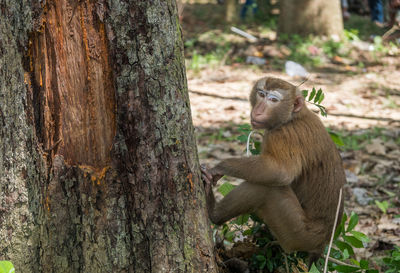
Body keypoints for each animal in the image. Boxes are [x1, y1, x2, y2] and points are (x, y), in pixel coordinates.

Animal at [202, 76, 346, 262]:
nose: (258, 111)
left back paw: (214, 213)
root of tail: (323, 242)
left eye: (273, 100)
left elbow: (279, 172)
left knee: (267, 190)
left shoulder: (283, 135)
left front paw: (221, 167)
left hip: (297, 232)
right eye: (261, 94)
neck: (294, 117)